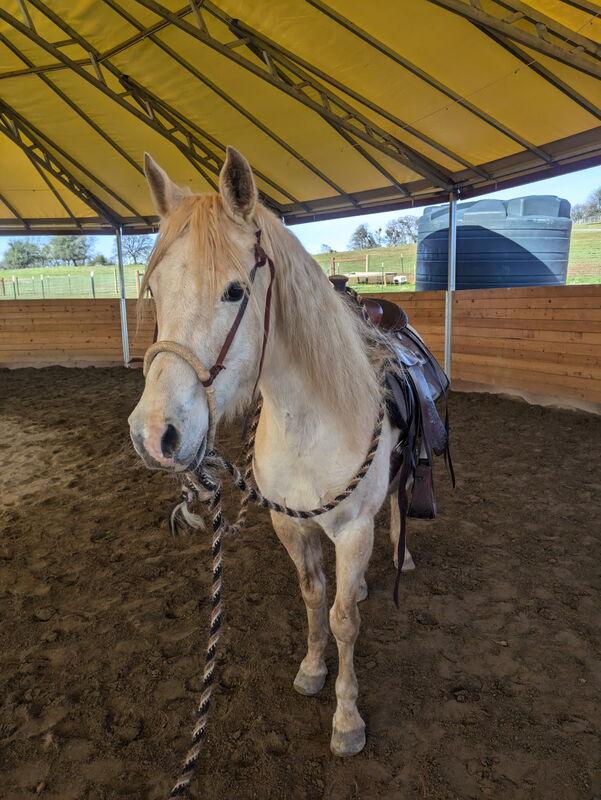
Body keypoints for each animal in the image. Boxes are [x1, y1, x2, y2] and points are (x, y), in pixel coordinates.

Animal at [129, 147, 419, 760]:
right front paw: (311, 671)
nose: (154, 434)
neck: (307, 424)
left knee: (402, 502)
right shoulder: (291, 525)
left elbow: (344, 621)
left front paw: (347, 720)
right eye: (156, 292)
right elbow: (313, 598)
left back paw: (401, 555)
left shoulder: (352, 529)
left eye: (236, 291)